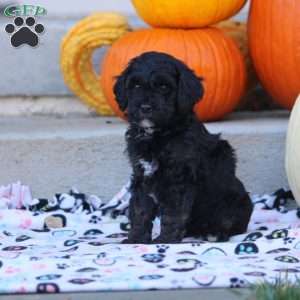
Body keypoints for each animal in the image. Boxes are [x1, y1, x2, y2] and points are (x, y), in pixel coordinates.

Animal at [113, 51, 252, 244]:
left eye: (164, 87)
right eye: (136, 85)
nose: (145, 108)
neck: (158, 133)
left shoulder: (178, 177)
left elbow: (173, 213)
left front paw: (165, 240)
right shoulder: (141, 174)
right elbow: (140, 209)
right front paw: (136, 239)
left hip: (234, 201)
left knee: (229, 222)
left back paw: (215, 234)